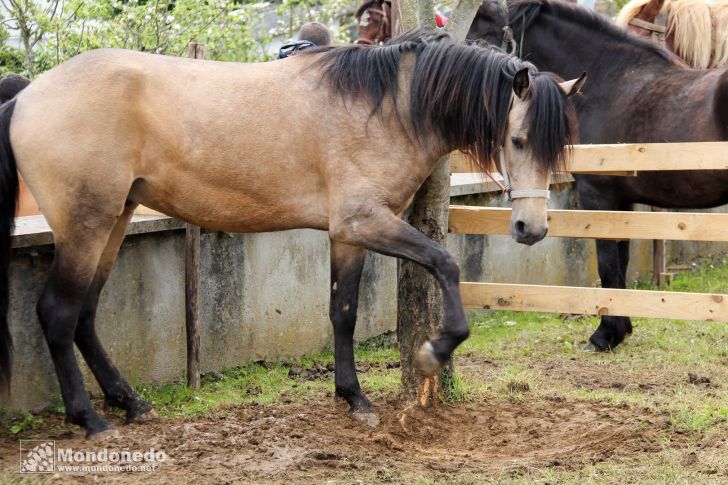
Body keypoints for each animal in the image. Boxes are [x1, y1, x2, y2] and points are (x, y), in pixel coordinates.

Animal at [0, 32, 584, 436]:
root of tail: (28, 96)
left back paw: (130, 402)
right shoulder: (364, 222)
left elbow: (342, 312)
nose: (531, 228)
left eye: (558, 146)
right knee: (58, 313)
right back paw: (89, 419)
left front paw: (353, 397)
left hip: (115, 220)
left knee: (85, 315)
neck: (386, 108)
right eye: (517, 139)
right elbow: (446, 263)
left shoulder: (348, 235)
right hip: (87, 224)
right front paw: (433, 352)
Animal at [470, 0, 728, 350]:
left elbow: (608, 263)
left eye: (481, 31)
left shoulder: (600, 197)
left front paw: (605, 334)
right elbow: (620, 261)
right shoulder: (623, 203)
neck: (610, 83)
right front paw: (621, 327)